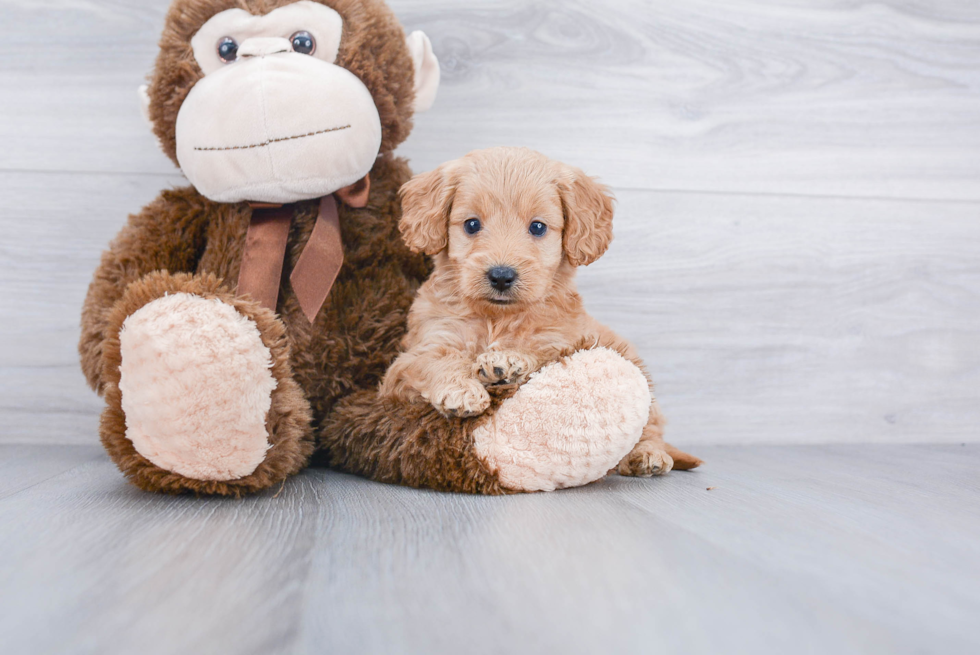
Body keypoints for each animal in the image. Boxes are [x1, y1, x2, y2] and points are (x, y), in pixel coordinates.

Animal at [378, 147, 700, 476]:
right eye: (471, 225)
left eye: (537, 227)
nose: (501, 276)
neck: (497, 318)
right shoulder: (412, 358)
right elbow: (434, 361)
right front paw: (461, 390)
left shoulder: (565, 342)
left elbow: (543, 353)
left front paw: (506, 361)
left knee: (651, 428)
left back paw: (648, 456)